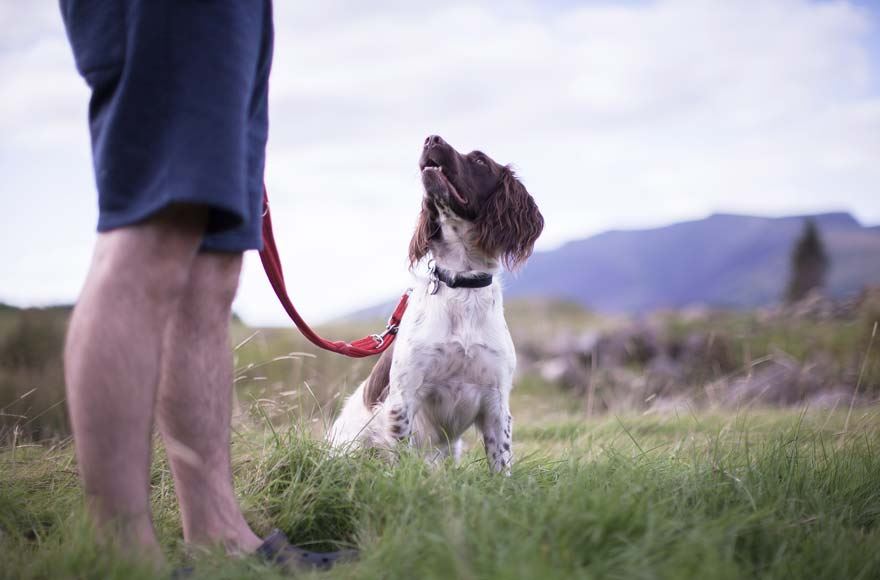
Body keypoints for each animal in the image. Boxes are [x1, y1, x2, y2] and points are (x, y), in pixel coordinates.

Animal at [324, 136, 544, 472]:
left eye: (480, 160)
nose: (431, 138)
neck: (461, 283)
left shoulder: (496, 402)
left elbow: (501, 462)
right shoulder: (404, 399)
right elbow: (402, 458)